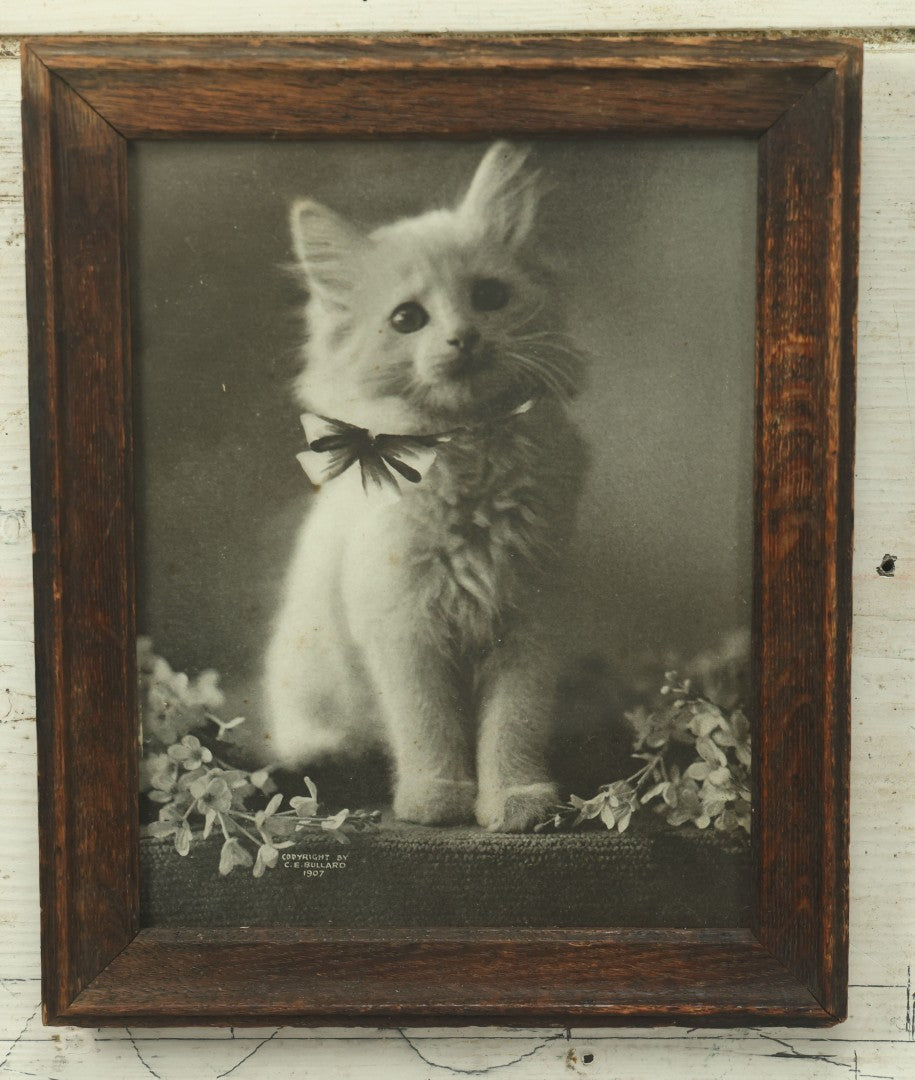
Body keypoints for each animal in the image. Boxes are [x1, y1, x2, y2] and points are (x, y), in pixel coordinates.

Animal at [266, 143, 591, 829]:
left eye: (489, 295)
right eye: (407, 318)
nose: (463, 337)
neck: (468, 454)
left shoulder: (528, 623)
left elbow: (513, 726)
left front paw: (518, 801)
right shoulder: (403, 627)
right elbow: (427, 725)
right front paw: (436, 798)